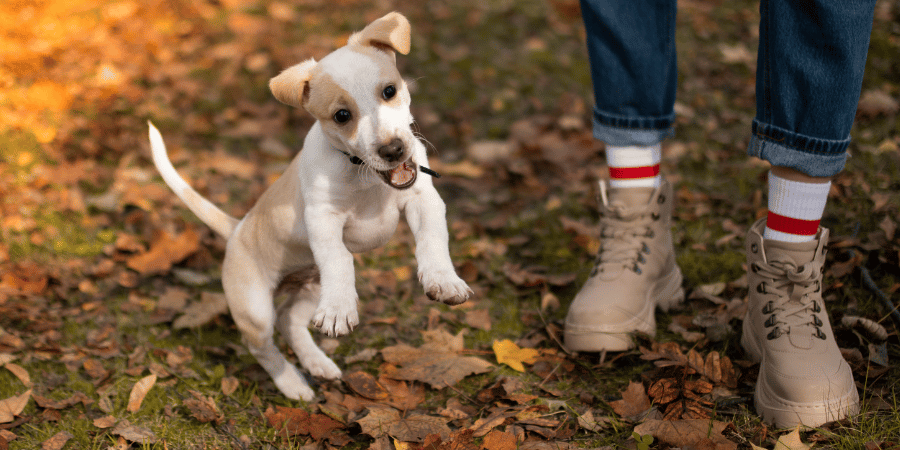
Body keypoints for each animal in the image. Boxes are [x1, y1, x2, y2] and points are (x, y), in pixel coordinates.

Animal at [148, 12, 472, 400]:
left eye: (389, 91)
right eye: (342, 115)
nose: (393, 151)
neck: (362, 174)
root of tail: (236, 228)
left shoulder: (423, 199)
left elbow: (432, 241)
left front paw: (444, 280)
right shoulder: (323, 218)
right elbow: (340, 258)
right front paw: (339, 312)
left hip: (311, 286)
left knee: (290, 320)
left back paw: (319, 363)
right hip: (256, 308)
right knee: (262, 345)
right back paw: (292, 383)